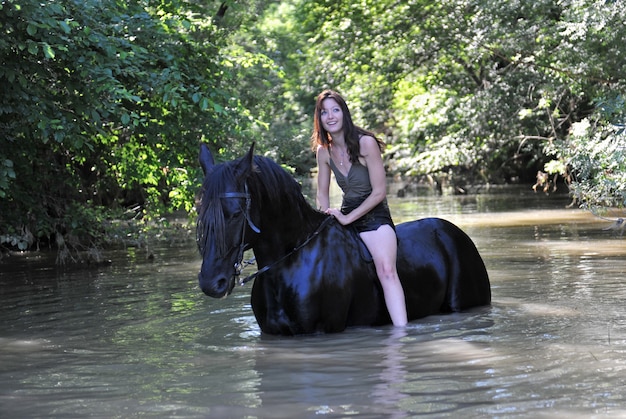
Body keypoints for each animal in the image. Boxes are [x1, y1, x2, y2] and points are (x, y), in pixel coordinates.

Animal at [195, 146, 488, 336]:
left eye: (235, 214)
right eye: (200, 212)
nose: (211, 282)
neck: (291, 261)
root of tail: (457, 234)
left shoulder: (319, 332)